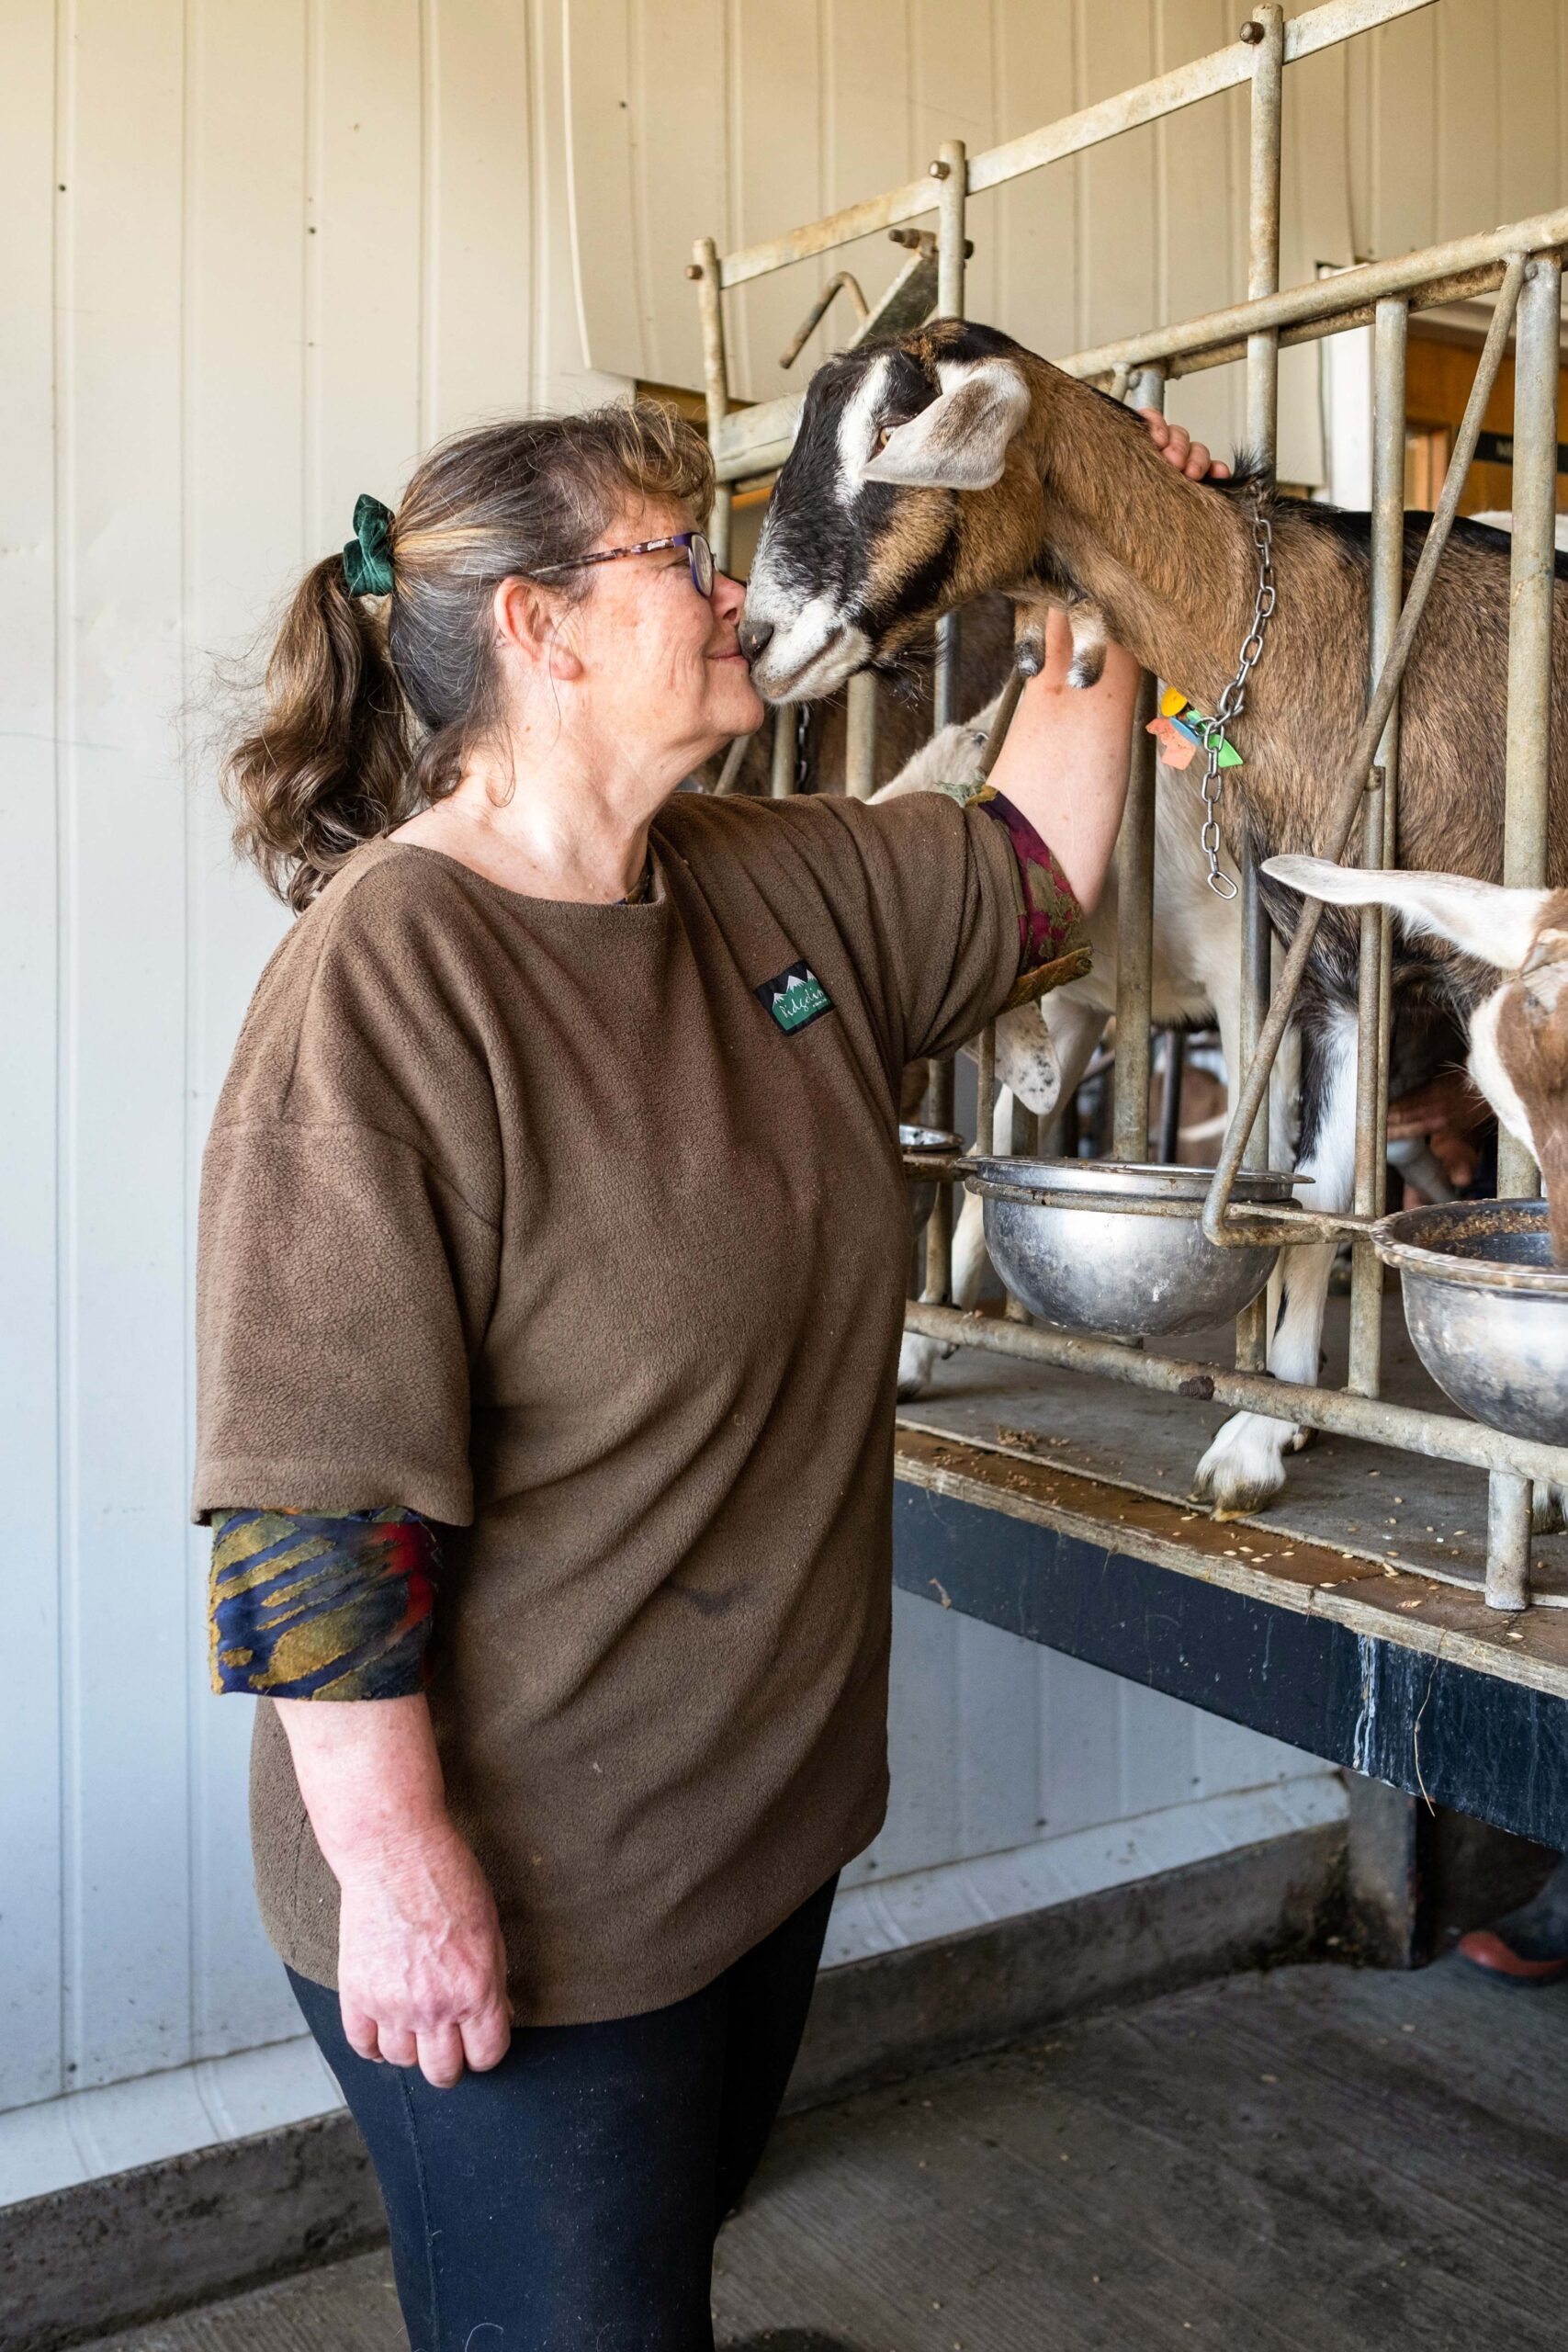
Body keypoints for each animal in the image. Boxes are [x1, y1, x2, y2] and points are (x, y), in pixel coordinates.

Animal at [747, 322, 1568, 1514]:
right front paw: (1266, 1425)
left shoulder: (1338, 971)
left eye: (895, 429)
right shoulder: (1319, 963)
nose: (756, 637)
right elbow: (1297, 1185)